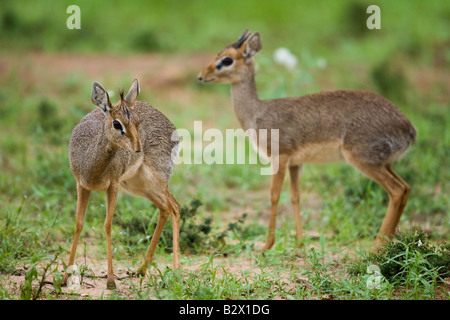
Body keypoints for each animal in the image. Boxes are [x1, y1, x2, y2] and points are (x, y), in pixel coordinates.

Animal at [63, 79, 179, 288]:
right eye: (117, 123)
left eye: (138, 121)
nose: (138, 148)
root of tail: (172, 128)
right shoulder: (82, 185)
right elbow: (78, 224)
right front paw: (64, 278)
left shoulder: (113, 185)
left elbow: (108, 225)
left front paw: (110, 281)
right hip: (138, 185)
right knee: (164, 208)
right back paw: (141, 270)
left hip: (157, 178)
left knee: (175, 207)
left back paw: (175, 272)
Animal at [199, 29, 416, 250]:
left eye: (227, 60)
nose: (201, 76)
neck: (257, 113)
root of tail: (409, 129)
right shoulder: (296, 163)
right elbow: (295, 197)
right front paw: (300, 242)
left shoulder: (280, 157)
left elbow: (274, 196)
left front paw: (267, 245)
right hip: (384, 163)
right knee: (405, 188)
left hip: (364, 160)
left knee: (397, 191)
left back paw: (375, 248)